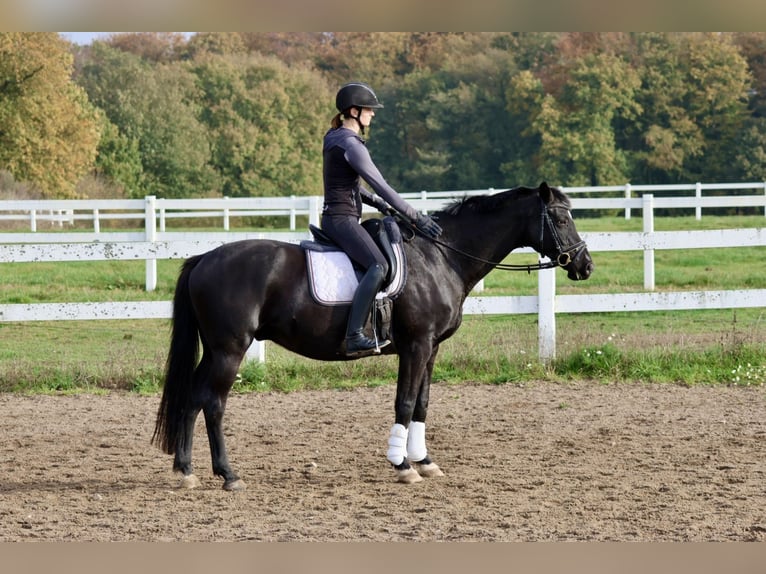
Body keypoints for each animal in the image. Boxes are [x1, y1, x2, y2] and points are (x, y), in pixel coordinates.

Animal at [150, 183, 592, 490]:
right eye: (562, 219)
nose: (584, 265)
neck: (441, 256)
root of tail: (204, 258)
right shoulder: (416, 346)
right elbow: (405, 402)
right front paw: (402, 465)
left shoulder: (431, 349)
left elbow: (422, 404)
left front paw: (424, 461)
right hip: (230, 349)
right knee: (214, 403)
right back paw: (228, 474)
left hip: (215, 350)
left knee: (192, 397)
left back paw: (186, 471)